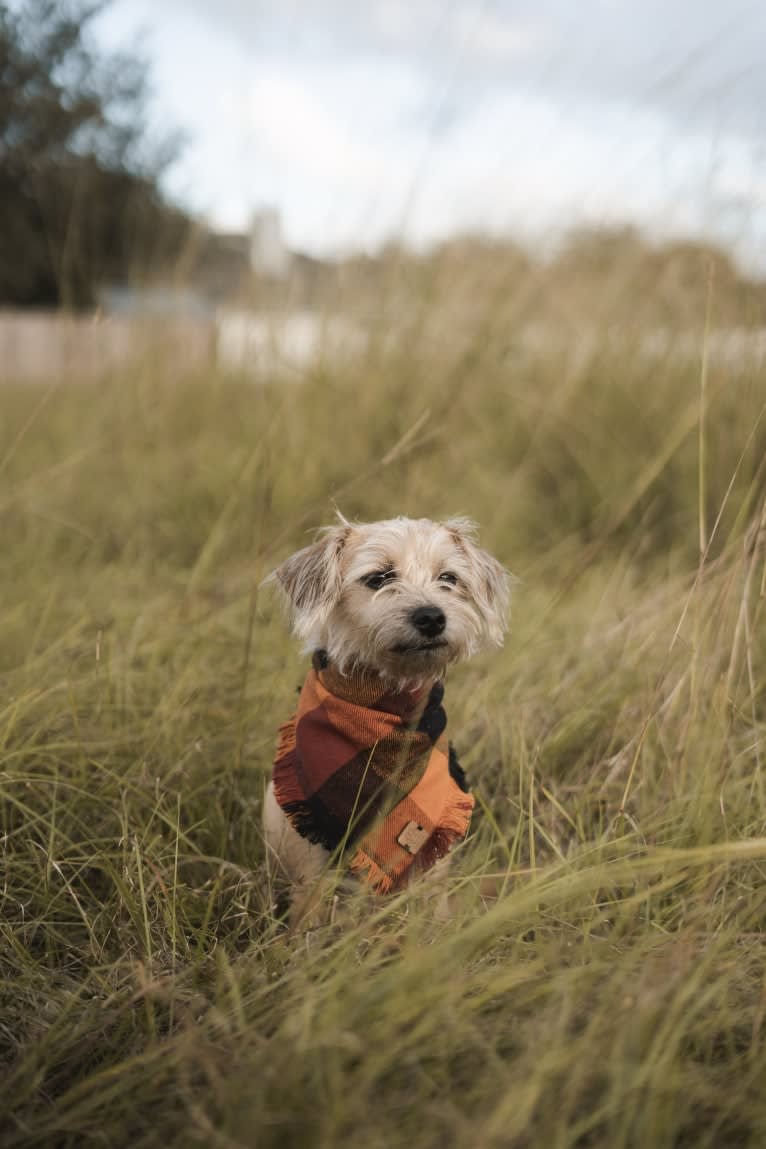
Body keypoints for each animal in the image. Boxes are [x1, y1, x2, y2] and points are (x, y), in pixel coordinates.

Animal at [261, 517, 509, 928]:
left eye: (448, 577)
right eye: (379, 578)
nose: (432, 616)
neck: (389, 712)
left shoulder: (431, 870)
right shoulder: (309, 874)